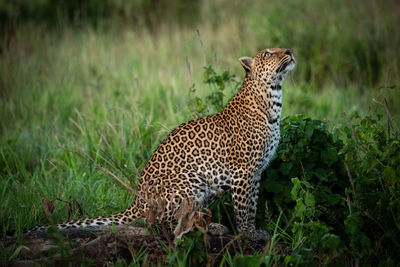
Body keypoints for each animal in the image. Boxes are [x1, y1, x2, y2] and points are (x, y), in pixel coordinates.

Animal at [25, 47, 294, 242]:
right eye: (268, 53)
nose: (290, 50)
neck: (273, 99)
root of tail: (137, 201)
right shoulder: (243, 172)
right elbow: (244, 207)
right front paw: (247, 233)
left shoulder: (256, 172)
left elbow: (253, 204)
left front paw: (254, 230)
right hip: (188, 182)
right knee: (163, 223)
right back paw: (214, 227)